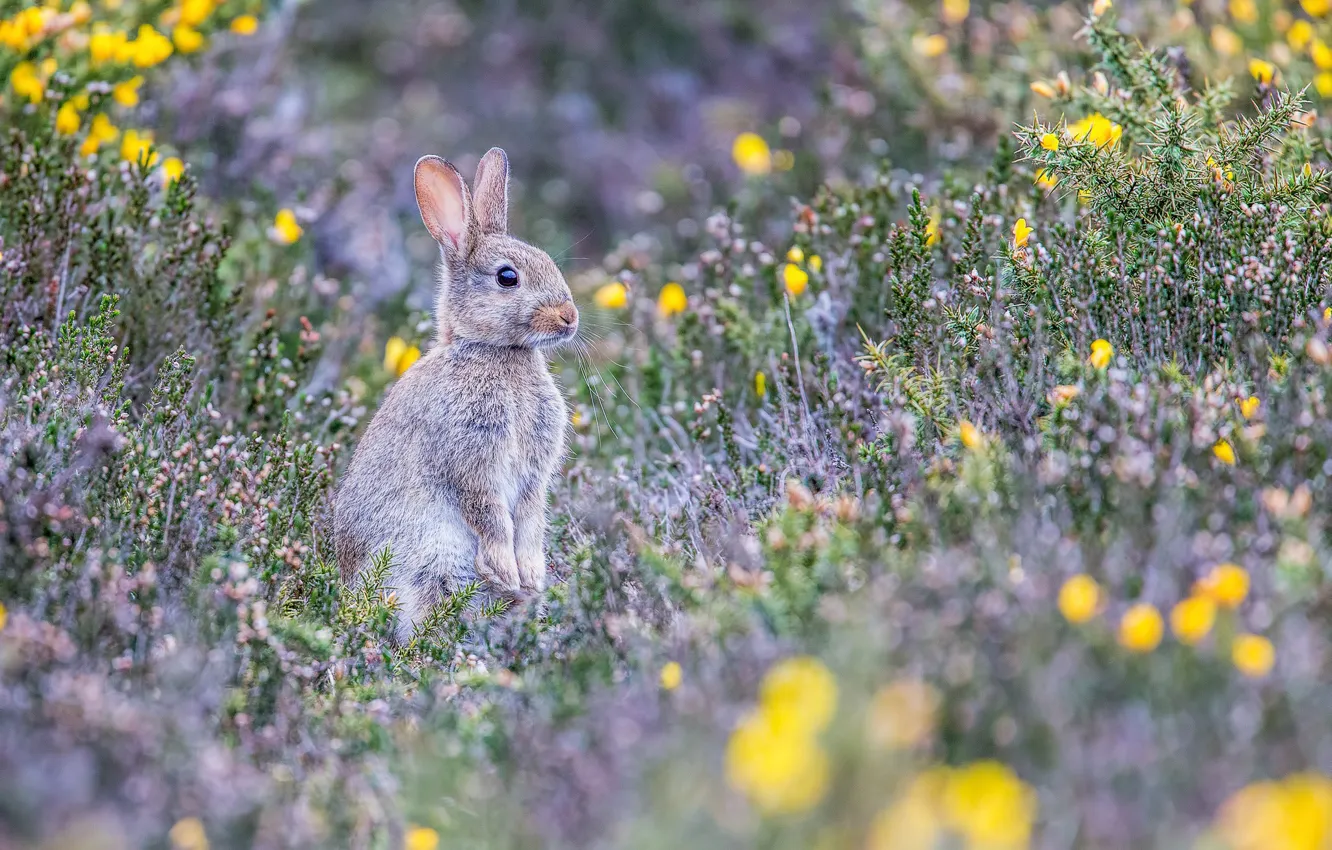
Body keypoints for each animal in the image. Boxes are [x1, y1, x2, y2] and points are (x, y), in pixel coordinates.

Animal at [334, 147, 579, 643]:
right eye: (507, 277)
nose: (569, 316)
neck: (496, 352)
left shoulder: (534, 476)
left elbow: (529, 516)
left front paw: (530, 573)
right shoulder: (470, 456)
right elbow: (489, 514)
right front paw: (506, 569)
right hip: (433, 567)